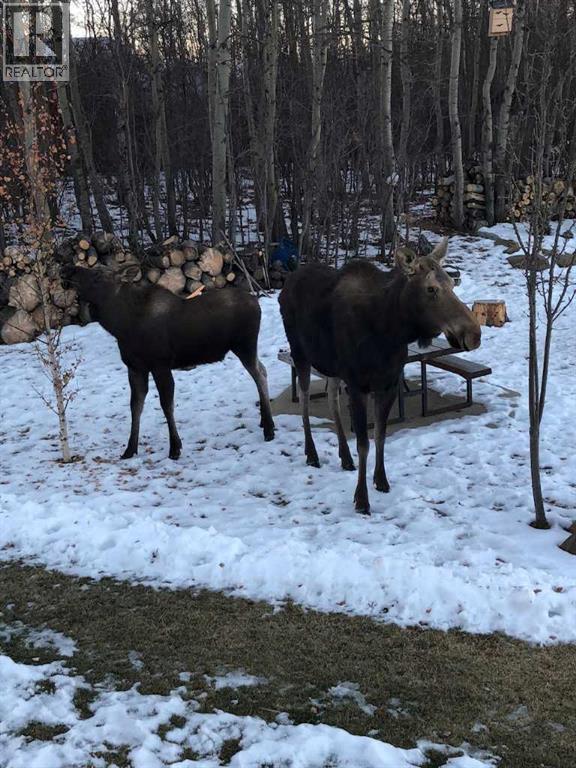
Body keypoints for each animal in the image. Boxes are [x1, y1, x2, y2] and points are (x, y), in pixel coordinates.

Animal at [63, 265, 275, 459]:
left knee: (260, 373)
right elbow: (135, 407)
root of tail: (256, 302)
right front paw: (130, 449)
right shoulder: (135, 368)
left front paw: (175, 448)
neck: (121, 326)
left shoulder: (160, 365)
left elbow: (166, 405)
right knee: (263, 369)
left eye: (99, 274)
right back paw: (264, 421)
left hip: (245, 345)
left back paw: (269, 428)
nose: (69, 270)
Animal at [279, 238, 481, 515]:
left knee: (331, 399)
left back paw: (344, 456)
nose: (474, 334)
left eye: (452, 283)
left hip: (332, 367)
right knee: (305, 399)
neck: (390, 331)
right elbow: (364, 442)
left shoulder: (388, 383)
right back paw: (312, 454)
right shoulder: (357, 385)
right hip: (300, 353)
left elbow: (381, 436)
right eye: (431, 288)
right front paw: (361, 499)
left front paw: (381, 480)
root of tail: (286, 282)